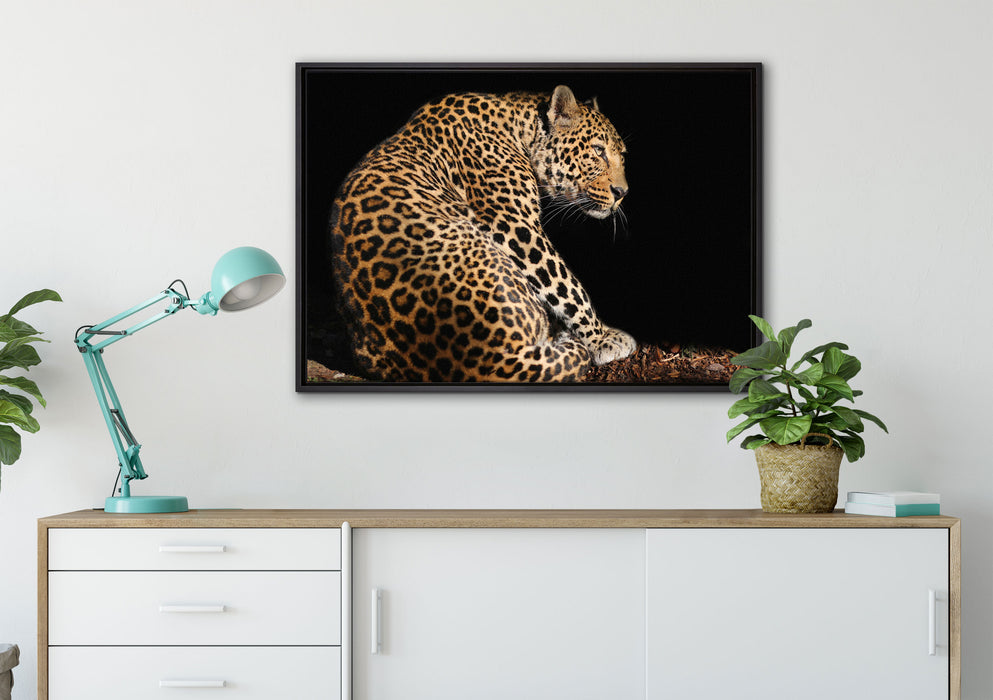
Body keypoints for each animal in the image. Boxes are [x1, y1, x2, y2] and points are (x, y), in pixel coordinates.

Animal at [328, 84, 637, 382]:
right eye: (598, 150)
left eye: (621, 155)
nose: (622, 193)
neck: (518, 128)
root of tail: (485, 360)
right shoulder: (515, 226)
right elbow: (565, 285)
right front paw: (602, 339)